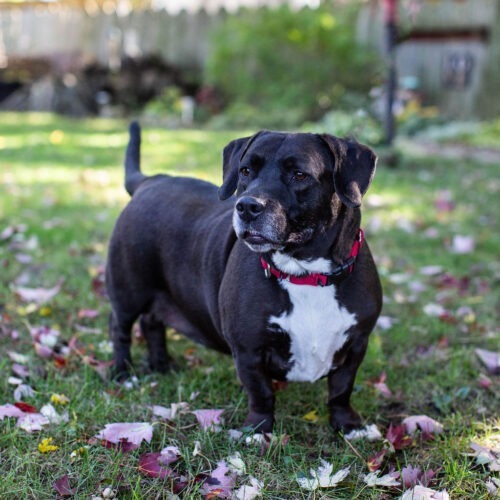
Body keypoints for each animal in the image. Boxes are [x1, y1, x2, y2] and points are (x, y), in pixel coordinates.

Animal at [107, 122, 382, 434]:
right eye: (245, 171)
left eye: (299, 175)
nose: (247, 206)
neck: (305, 272)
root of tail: (150, 181)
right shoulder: (249, 349)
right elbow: (261, 392)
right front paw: (258, 430)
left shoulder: (357, 343)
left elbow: (341, 388)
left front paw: (348, 425)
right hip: (128, 289)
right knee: (120, 327)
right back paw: (122, 374)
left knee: (152, 322)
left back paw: (161, 366)